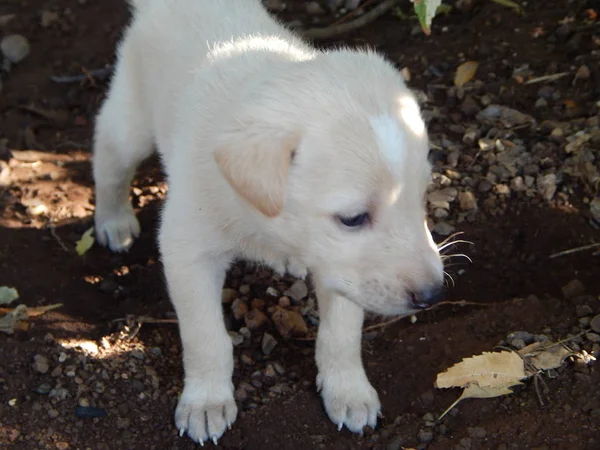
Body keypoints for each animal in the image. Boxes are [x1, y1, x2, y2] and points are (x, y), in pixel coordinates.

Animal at [91, 0, 442, 442]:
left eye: (420, 199)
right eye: (353, 218)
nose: (433, 294)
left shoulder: (342, 269)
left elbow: (341, 333)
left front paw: (348, 390)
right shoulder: (188, 251)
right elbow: (206, 336)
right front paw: (206, 401)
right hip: (130, 120)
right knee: (108, 158)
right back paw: (114, 220)